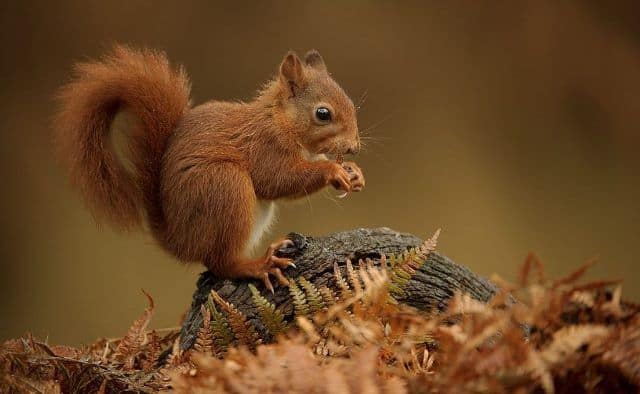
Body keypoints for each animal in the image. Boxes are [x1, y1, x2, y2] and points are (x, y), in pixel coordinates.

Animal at [53, 46, 364, 292]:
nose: (354, 146)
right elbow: (278, 180)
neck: (280, 120)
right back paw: (257, 265)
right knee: (221, 263)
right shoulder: (265, 147)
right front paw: (333, 171)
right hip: (225, 186)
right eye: (322, 114)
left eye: (351, 103)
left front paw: (353, 172)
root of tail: (179, 240)